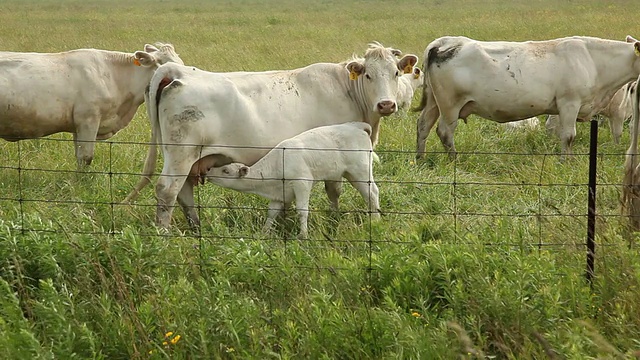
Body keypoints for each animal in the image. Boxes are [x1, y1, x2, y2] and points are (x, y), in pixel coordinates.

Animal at [205, 122, 380, 240]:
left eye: (226, 170)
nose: (208, 172)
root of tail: (356, 126)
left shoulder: (302, 183)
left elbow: (302, 210)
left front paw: (303, 235)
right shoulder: (279, 195)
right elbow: (272, 213)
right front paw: (264, 231)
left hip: (360, 171)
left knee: (372, 193)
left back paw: (375, 220)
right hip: (349, 173)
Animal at [412, 34, 640, 160]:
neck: (592, 59)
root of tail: (445, 41)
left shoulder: (558, 108)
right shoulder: (569, 103)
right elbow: (569, 135)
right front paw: (566, 161)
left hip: (434, 102)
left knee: (423, 125)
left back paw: (420, 158)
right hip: (450, 105)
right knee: (444, 132)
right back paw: (454, 160)